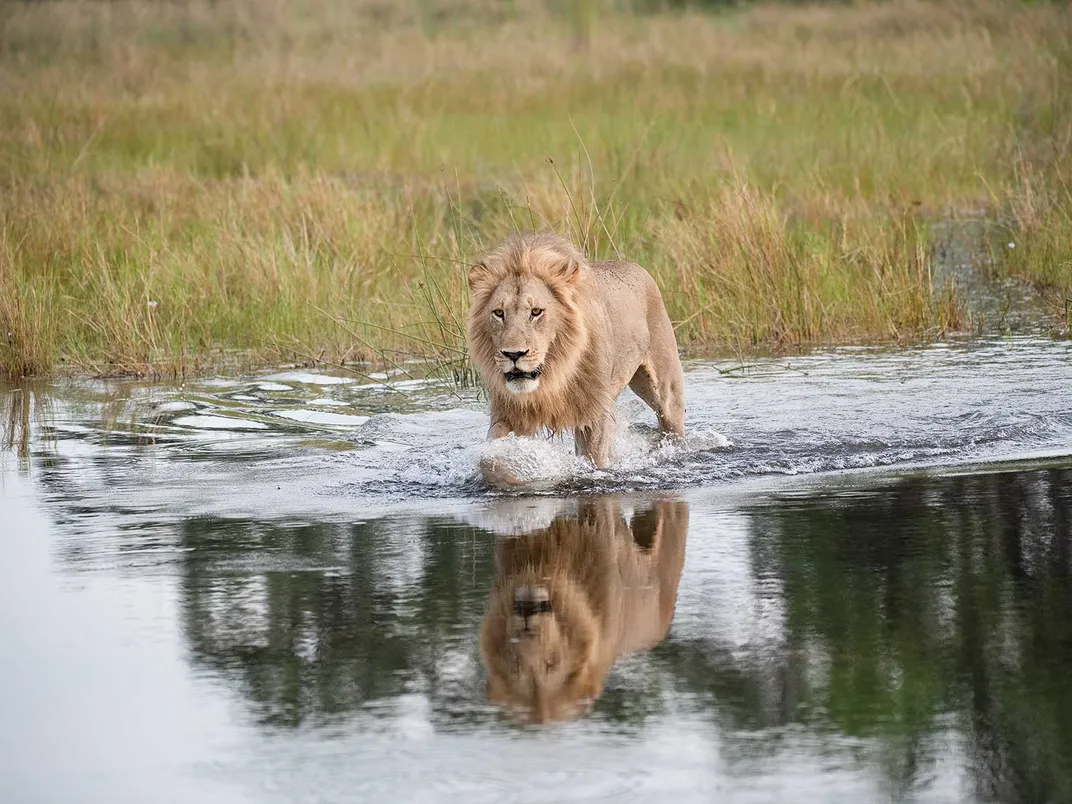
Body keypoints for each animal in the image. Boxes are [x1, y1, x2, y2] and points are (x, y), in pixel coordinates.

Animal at [465, 229, 681, 482]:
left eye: (536, 312)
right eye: (499, 313)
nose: (513, 354)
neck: (554, 370)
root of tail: (636, 266)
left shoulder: (594, 410)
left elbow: (594, 461)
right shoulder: (509, 412)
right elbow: (490, 457)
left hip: (667, 390)